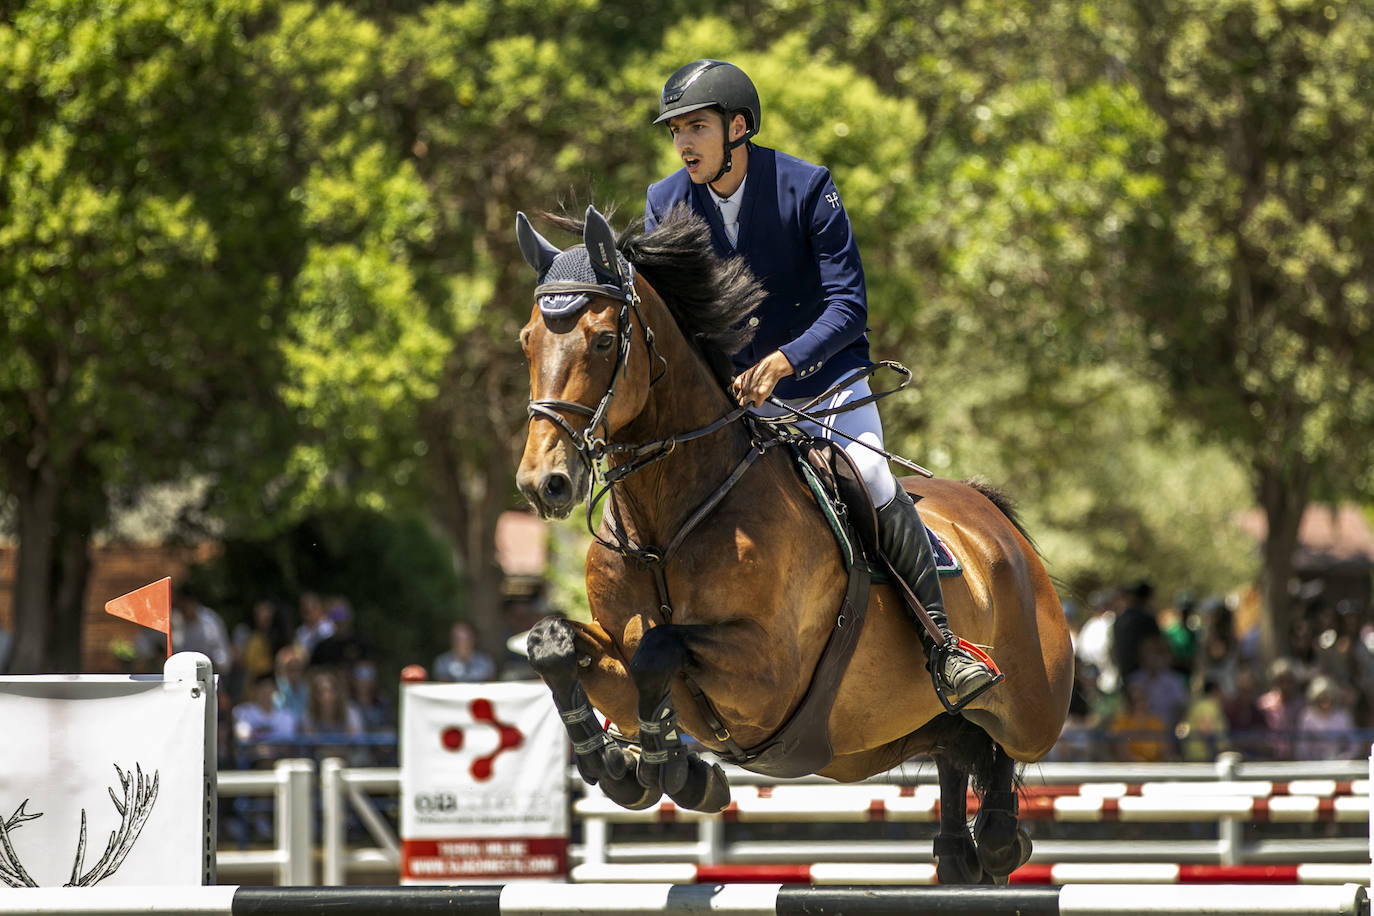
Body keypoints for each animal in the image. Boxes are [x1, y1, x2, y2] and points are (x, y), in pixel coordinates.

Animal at [516, 205, 1071, 878]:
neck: (663, 526)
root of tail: (992, 518)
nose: (544, 483)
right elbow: (555, 644)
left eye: (601, 340)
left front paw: (667, 766)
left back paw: (996, 827)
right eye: (527, 340)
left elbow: (658, 650)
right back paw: (961, 848)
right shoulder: (622, 655)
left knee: (1000, 743)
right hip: (879, 738)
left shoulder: (766, 675)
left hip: (1033, 709)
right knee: (958, 745)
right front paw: (628, 765)